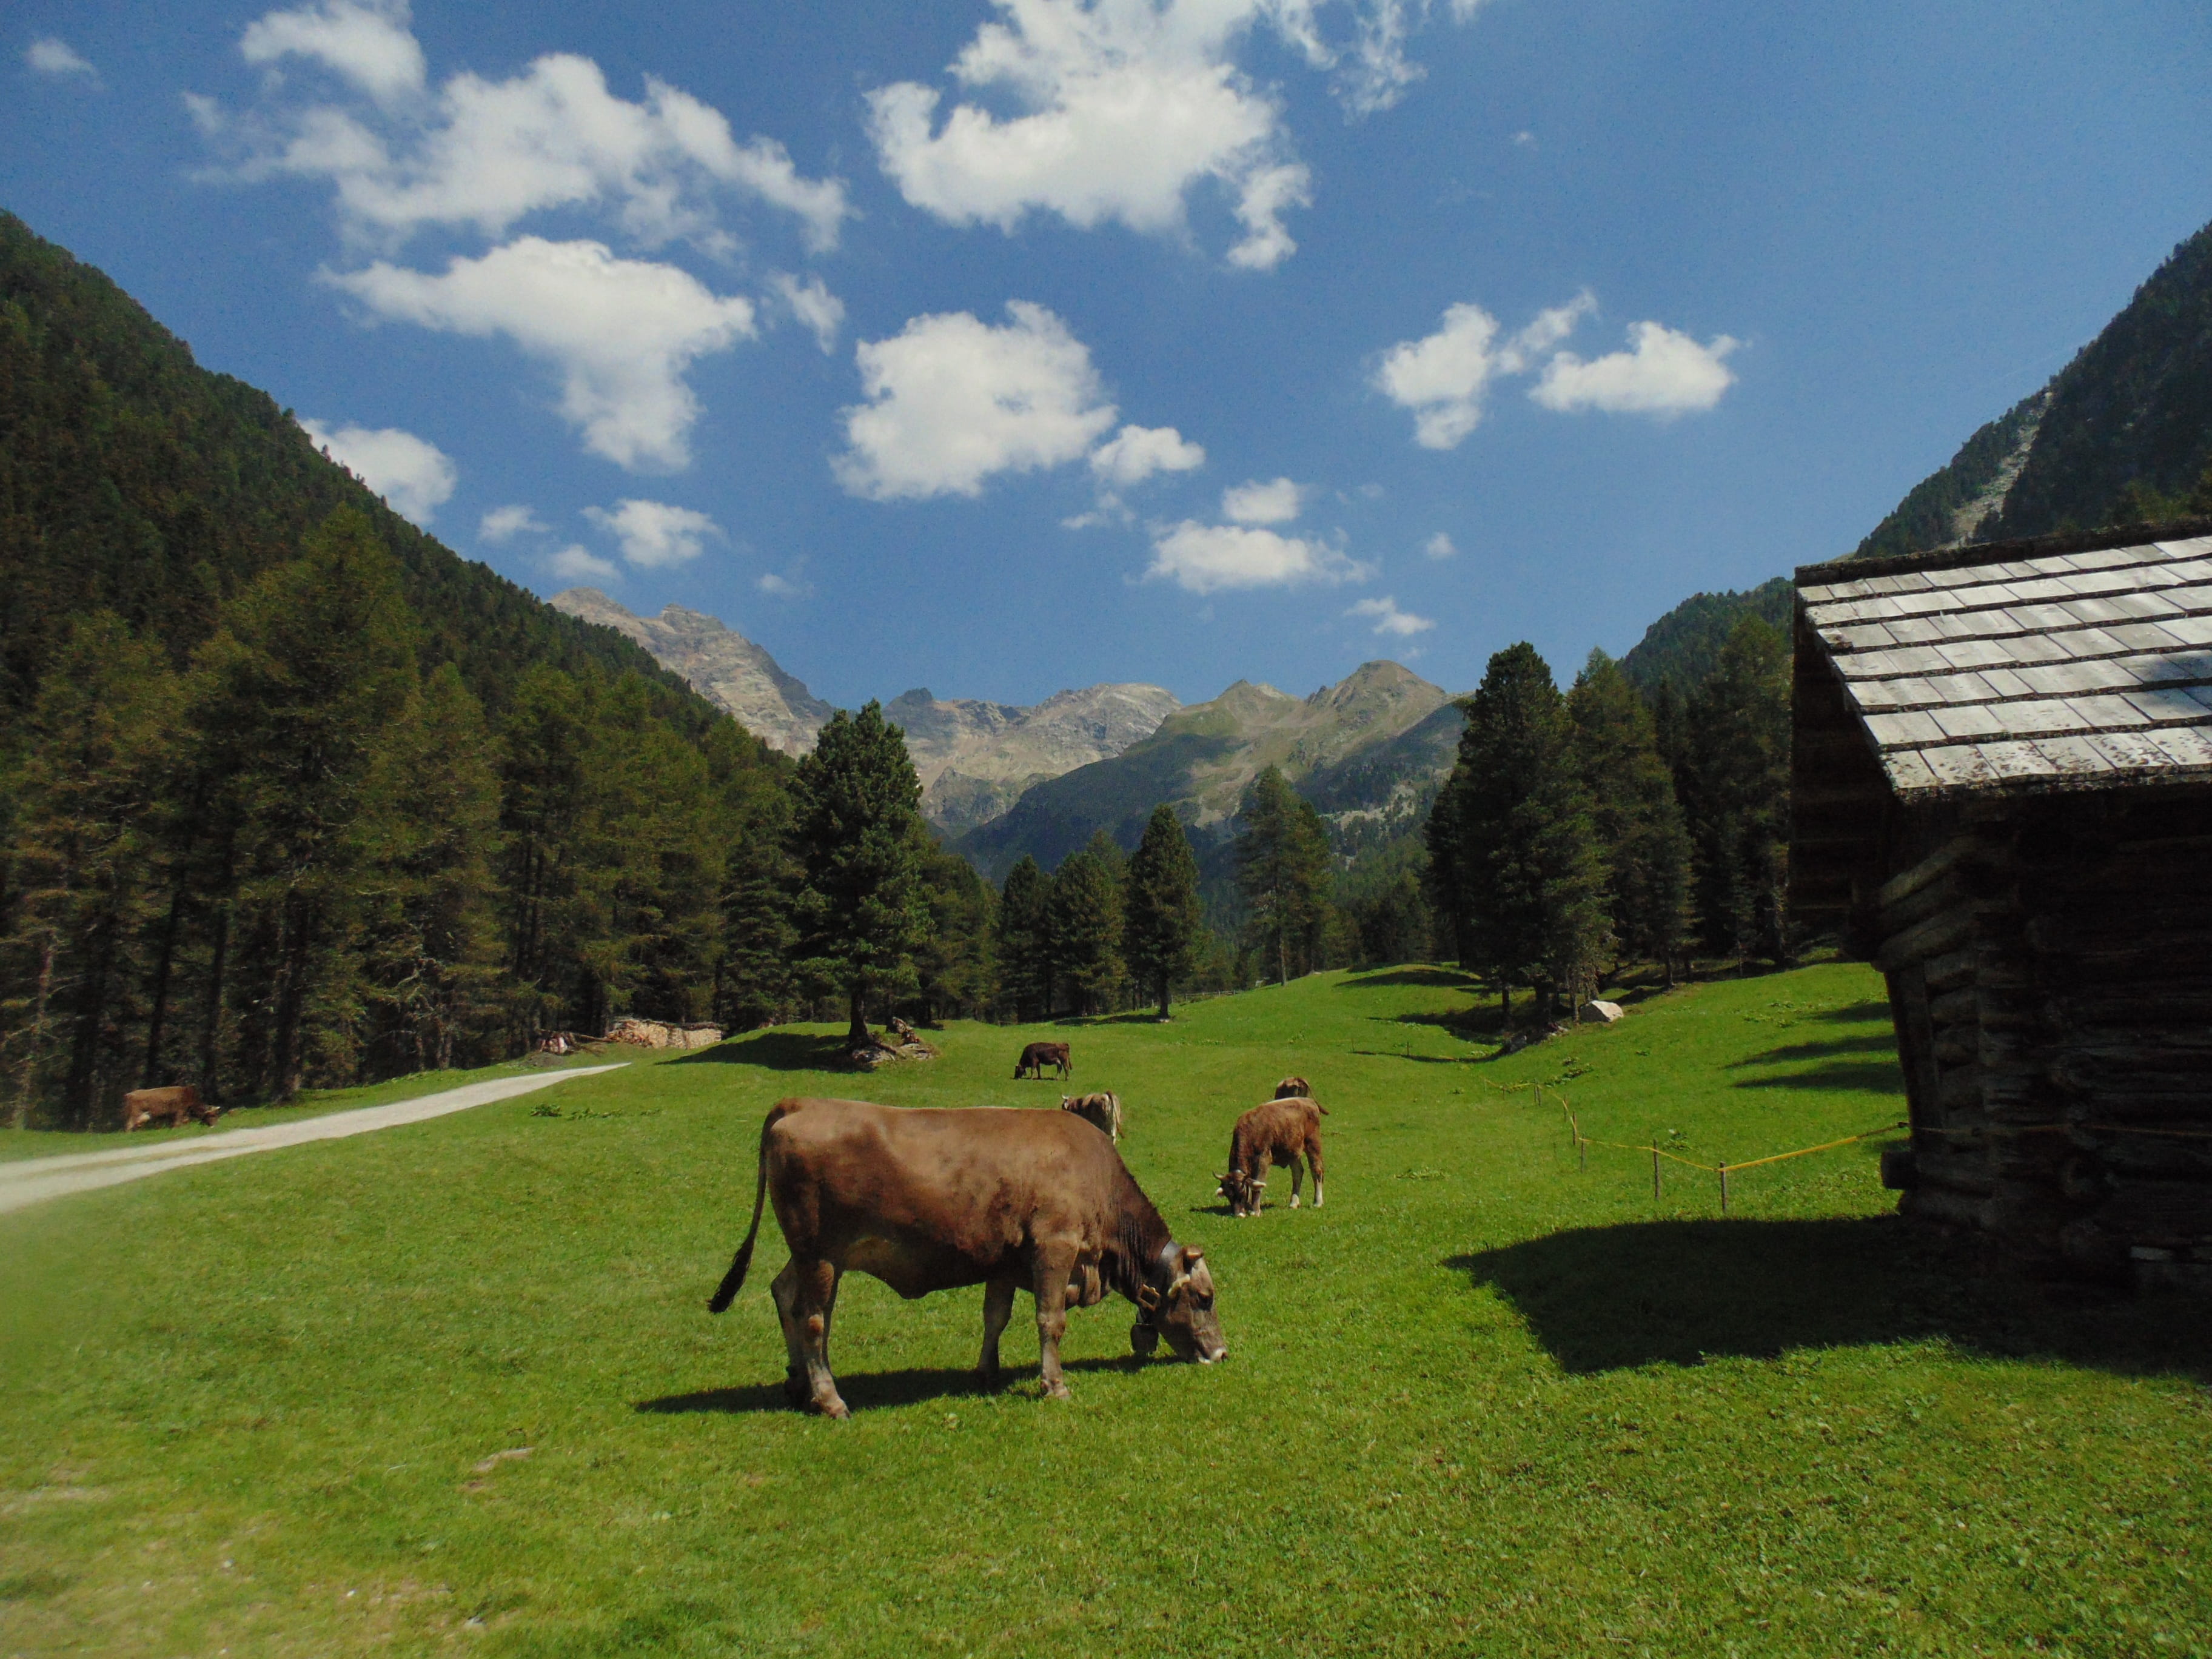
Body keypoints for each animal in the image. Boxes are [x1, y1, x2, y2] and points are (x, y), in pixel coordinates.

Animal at [122, 1085, 218, 1132]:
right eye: (212, 1115)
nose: (215, 1126)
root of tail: (129, 1094)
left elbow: (184, 1122)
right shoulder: (180, 1112)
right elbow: (178, 1123)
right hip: (135, 1114)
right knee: (129, 1125)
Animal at [707, 1097, 1224, 1418]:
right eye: (1204, 1298)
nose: (1221, 1353)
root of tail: (801, 1103)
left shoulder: (1004, 1262)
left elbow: (995, 1317)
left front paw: (987, 1372)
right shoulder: (1054, 1249)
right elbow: (1050, 1320)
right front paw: (1054, 1384)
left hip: (807, 1254)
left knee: (783, 1293)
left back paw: (799, 1383)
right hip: (821, 1255)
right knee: (814, 1319)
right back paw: (829, 1398)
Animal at [1218, 1095, 1326, 1218]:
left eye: (1242, 1193)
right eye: (1228, 1195)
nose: (1238, 1215)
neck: (1250, 1130)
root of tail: (1308, 1100)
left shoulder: (1264, 1159)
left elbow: (1257, 1185)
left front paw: (1255, 1211)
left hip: (1313, 1143)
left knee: (1316, 1171)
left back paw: (1318, 1202)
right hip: (1293, 1151)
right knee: (1298, 1173)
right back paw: (1294, 1203)